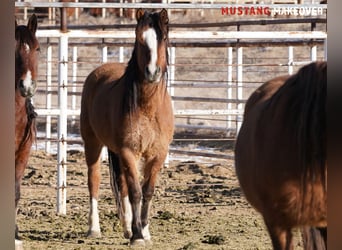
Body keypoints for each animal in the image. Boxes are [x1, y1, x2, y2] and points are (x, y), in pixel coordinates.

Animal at [80, 8, 174, 246]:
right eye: (140, 39)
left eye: (163, 39)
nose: (152, 72)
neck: (148, 108)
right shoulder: (129, 151)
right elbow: (135, 192)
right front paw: (138, 236)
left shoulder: (158, 154)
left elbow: (147, 191)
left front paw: (144, 232)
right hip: (93, 144)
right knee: (94, 181)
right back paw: (94, 228)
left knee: (121, 184)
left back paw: (126, 228)